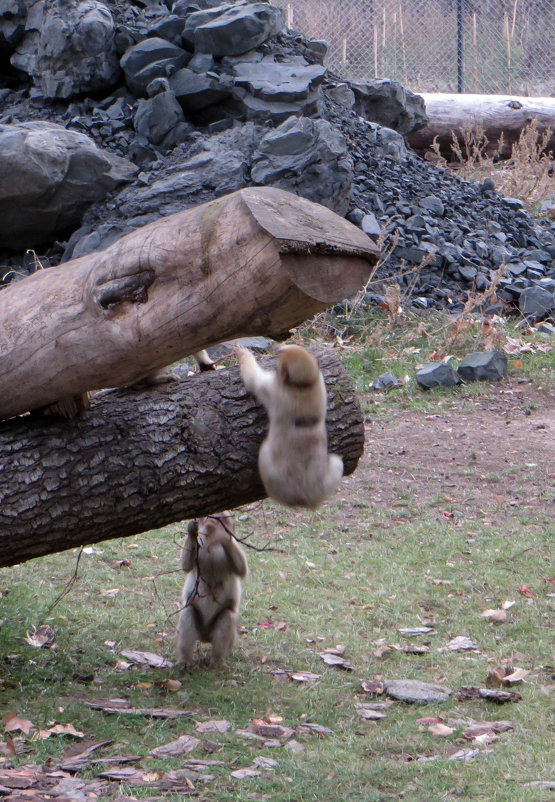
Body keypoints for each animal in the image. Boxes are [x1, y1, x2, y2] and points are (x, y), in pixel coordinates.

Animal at [177, 512, 249, 664]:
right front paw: (192, 530)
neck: (211, 544)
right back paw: (184, 660)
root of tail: (205, 637)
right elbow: (186, 566)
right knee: (188, 611)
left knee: (226, 617)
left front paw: (224, 533)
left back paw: (217, 662)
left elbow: (242, 570)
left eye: (220, 515)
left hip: (228, 637)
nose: (212, 519)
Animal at [237, 344, 346, 506]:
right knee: (338, 461)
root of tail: (305, 495)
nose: (278, 348)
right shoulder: (320, 382)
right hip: (330, 473)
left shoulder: (273, 386)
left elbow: (253, 379)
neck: (303, 385)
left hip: (273, 474)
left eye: (282, 355)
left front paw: (242, 352)